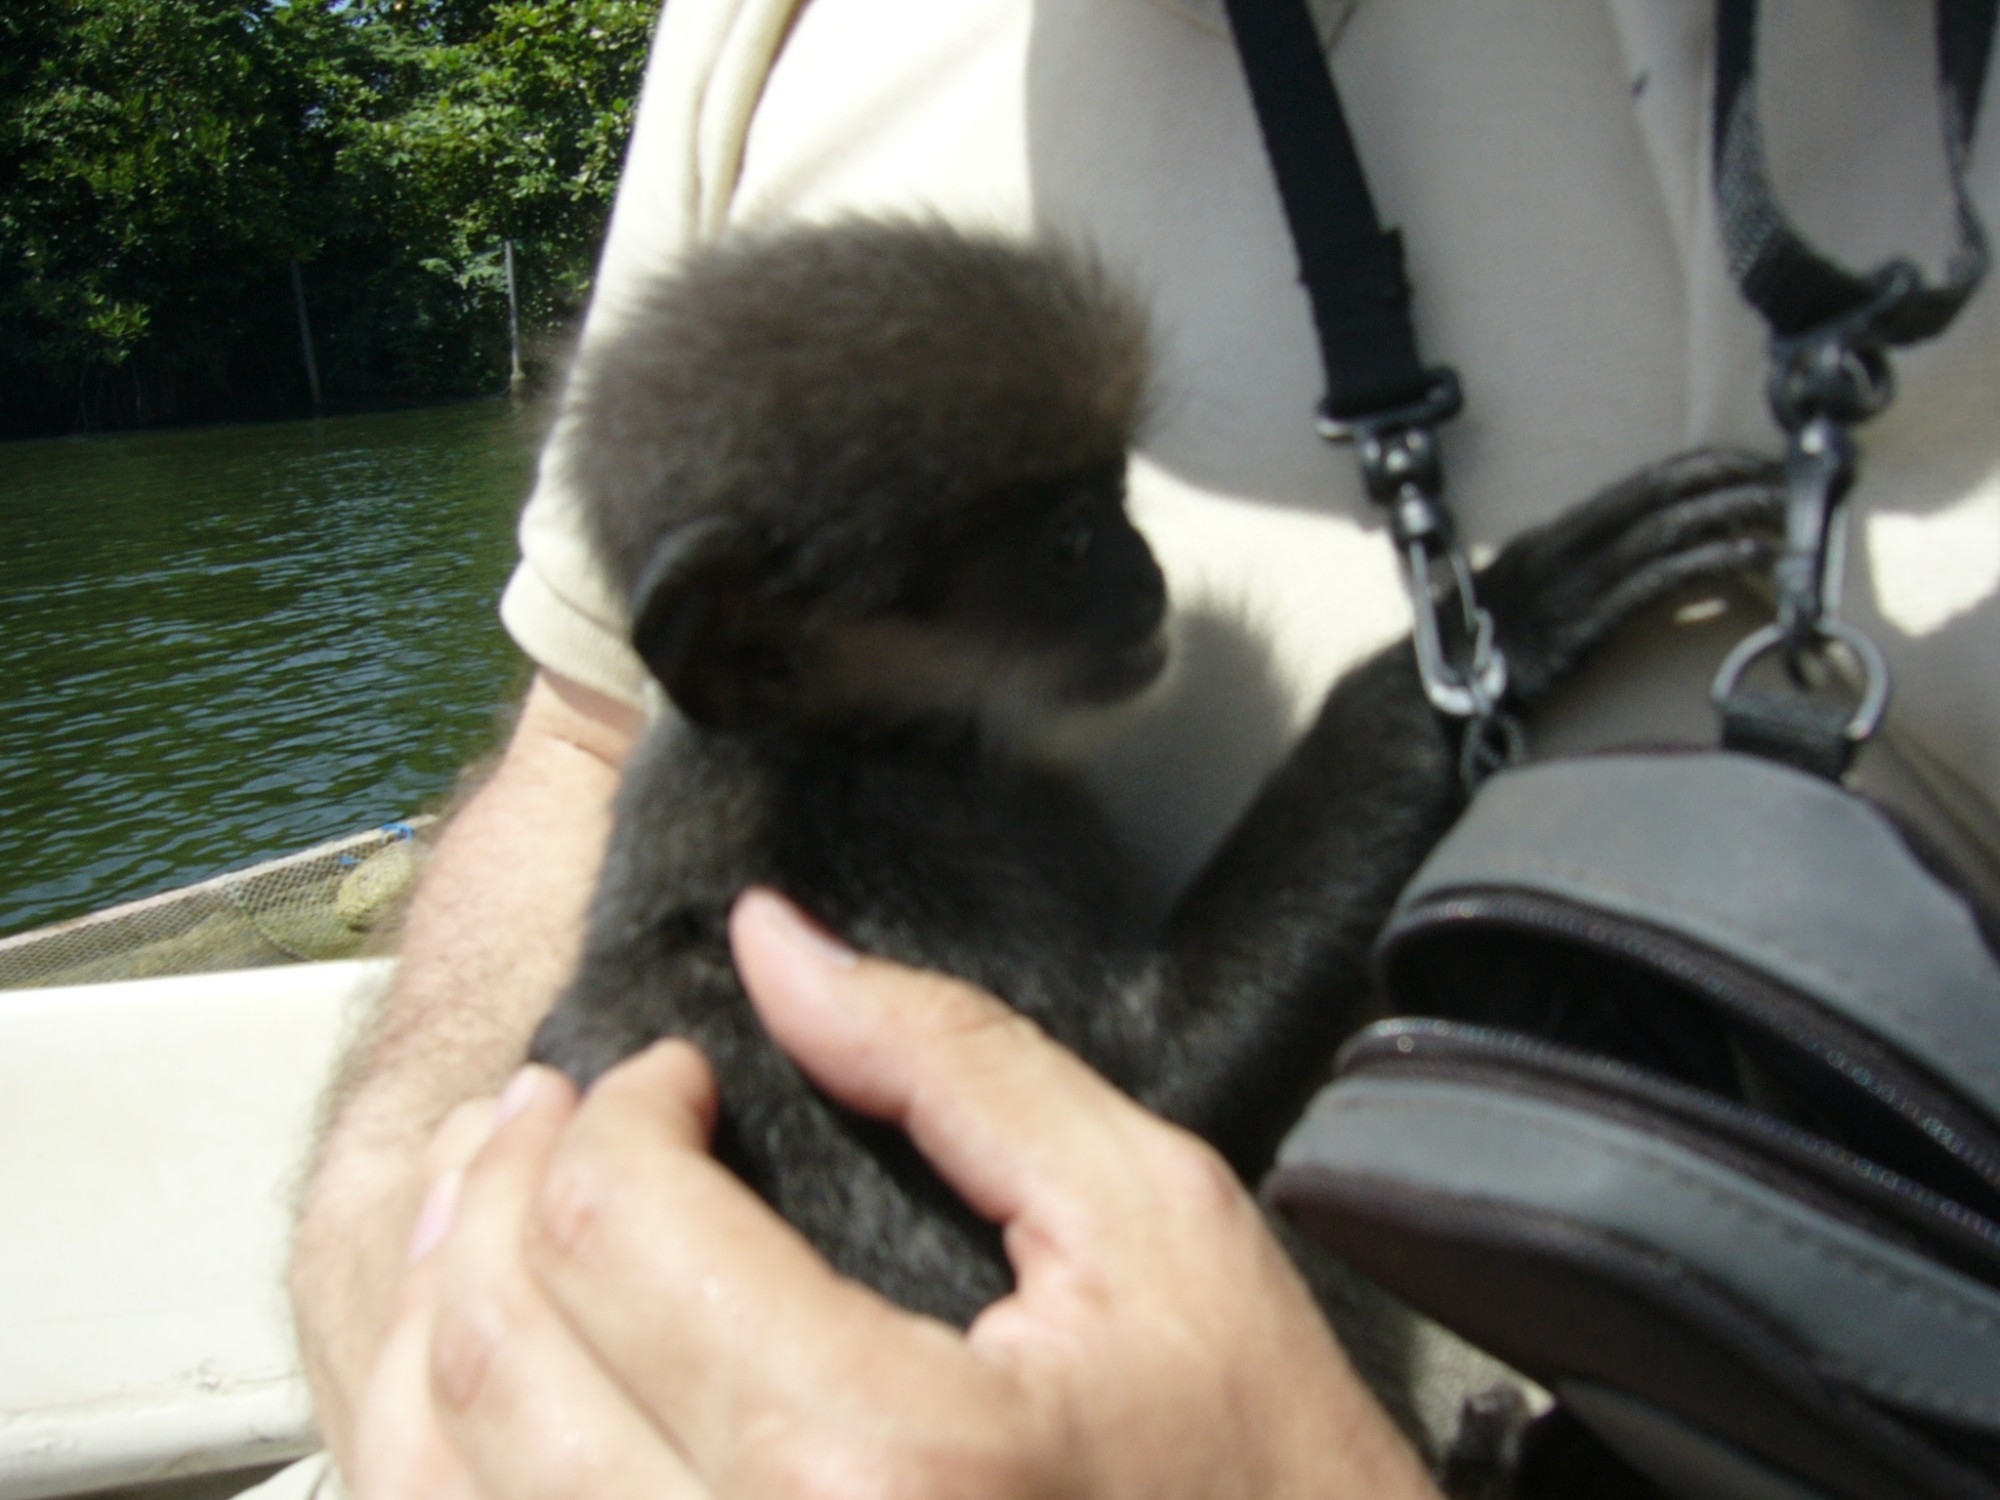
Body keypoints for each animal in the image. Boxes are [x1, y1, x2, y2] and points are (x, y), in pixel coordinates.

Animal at [532, 220, 1784, 1328]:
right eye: (1068, 541)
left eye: (1117, 501)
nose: (1146, 573)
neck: (849, 742)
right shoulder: (883, 862)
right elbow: (1157, 1092)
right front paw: (1502, 628)